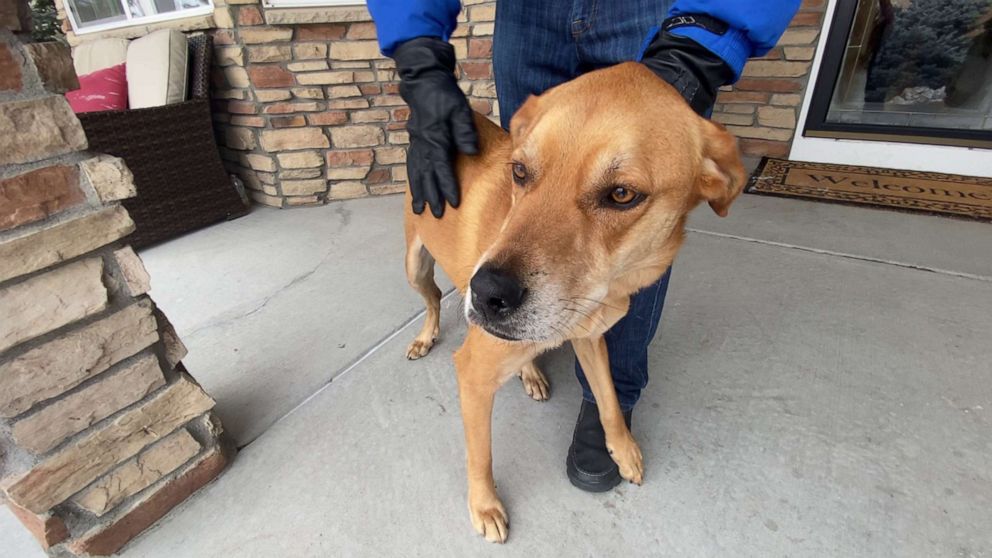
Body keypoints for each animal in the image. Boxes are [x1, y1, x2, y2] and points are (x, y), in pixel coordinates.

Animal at [404, 63, 744, 544]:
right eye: (519, 171)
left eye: (621, 194)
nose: (484, 294)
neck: (605, 289)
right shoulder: (473, 373)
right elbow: (481, 455)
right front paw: (485, 505)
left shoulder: (592, 338)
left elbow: (608, 399)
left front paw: (622, 450)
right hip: (415, 264)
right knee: (432, 298)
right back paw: (425, 336)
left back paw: (529, 371)